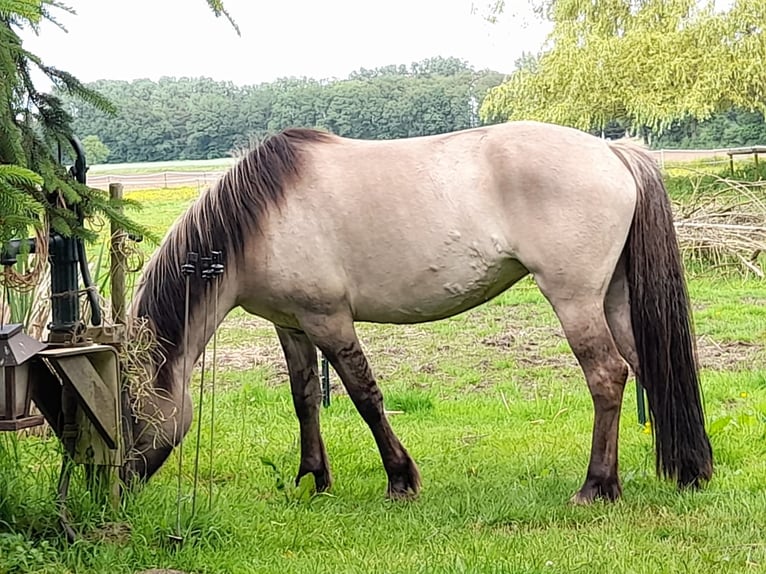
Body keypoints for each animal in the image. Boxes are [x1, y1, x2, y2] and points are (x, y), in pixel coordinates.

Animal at [123, 120, 716, 504]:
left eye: (127, 411)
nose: (118, 485)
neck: (263, 216)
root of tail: (613, 152)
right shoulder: (291, 325)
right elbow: (305, 399)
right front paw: (312, 478)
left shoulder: (328, 320)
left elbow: (364, 396)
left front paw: (400, 479)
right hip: (613, 296)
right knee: (649, 365)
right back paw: (688, 470)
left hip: (574, 299)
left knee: (608, 375)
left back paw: (597, 486)